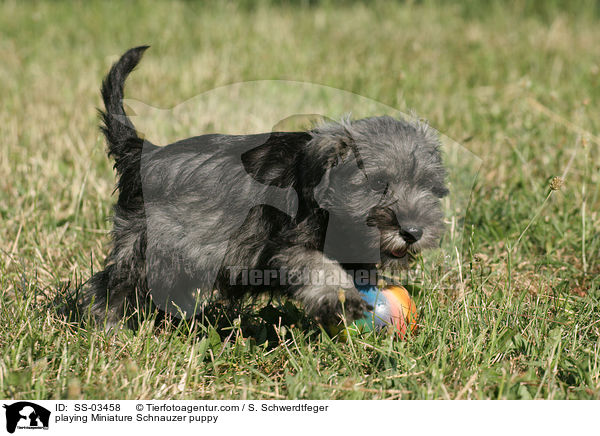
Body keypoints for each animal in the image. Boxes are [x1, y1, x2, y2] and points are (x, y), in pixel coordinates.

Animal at [86, 46, 448, 328]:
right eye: (377, 185)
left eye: (428, 186)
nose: (413, 232)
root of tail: (141, 152)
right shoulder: (285, 247)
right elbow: (320, 268)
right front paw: (342, 298)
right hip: (144, 246)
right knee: (111, 288)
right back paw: (111, 331)